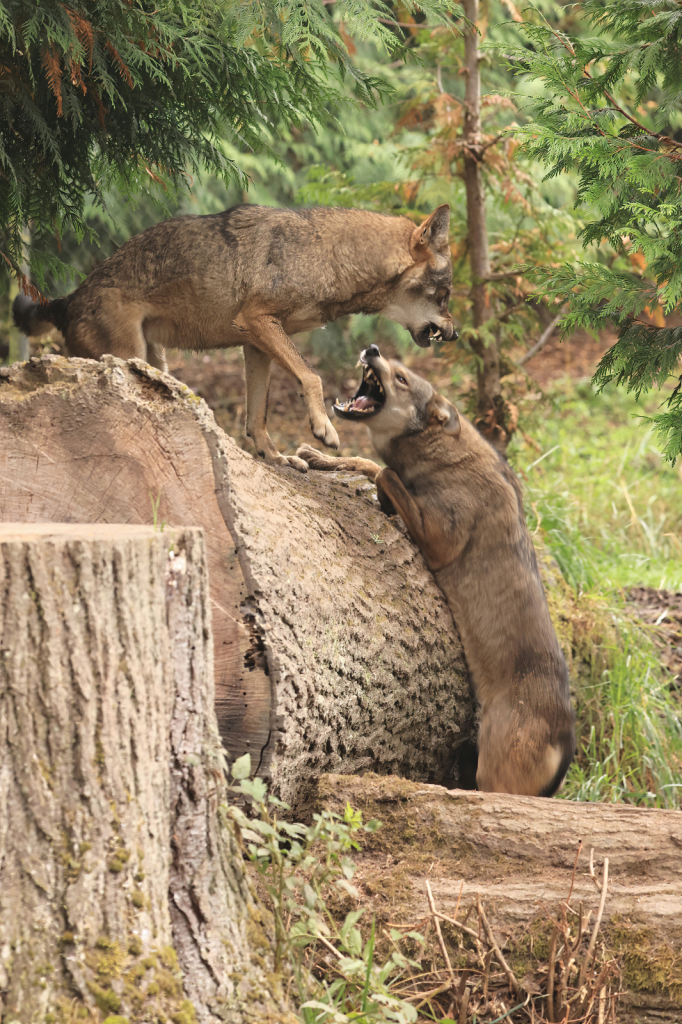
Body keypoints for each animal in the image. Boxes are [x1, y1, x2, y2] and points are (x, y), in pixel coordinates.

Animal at [13, 200, 454, 471]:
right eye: (446, 295)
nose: (453, 334)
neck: (328, 255)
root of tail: (69, 298)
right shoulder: (257, 321)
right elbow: (312, 376)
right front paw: (323, 428)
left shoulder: (255, 344)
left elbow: (256, 416)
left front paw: (274, 457)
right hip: (129, 357)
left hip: (155, 363)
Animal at [296, 348, 573, 794]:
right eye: (389, 362)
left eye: (402, 378)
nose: (372, 349)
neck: (445, 456)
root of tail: (566, 745)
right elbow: (367, 463)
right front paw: (318, 457)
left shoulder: (439, 542)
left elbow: (384, 471)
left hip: (494, 779)